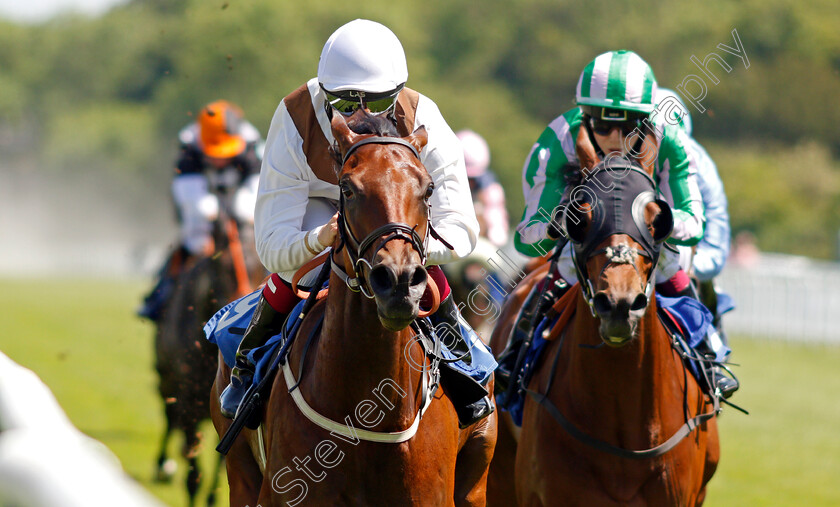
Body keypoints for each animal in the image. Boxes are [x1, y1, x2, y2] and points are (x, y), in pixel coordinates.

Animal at [213, 112, 496, 507]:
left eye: (428, 189)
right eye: (347, 188)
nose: (398, 281)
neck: (368, 415)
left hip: (478, 476)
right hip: (240, 472)